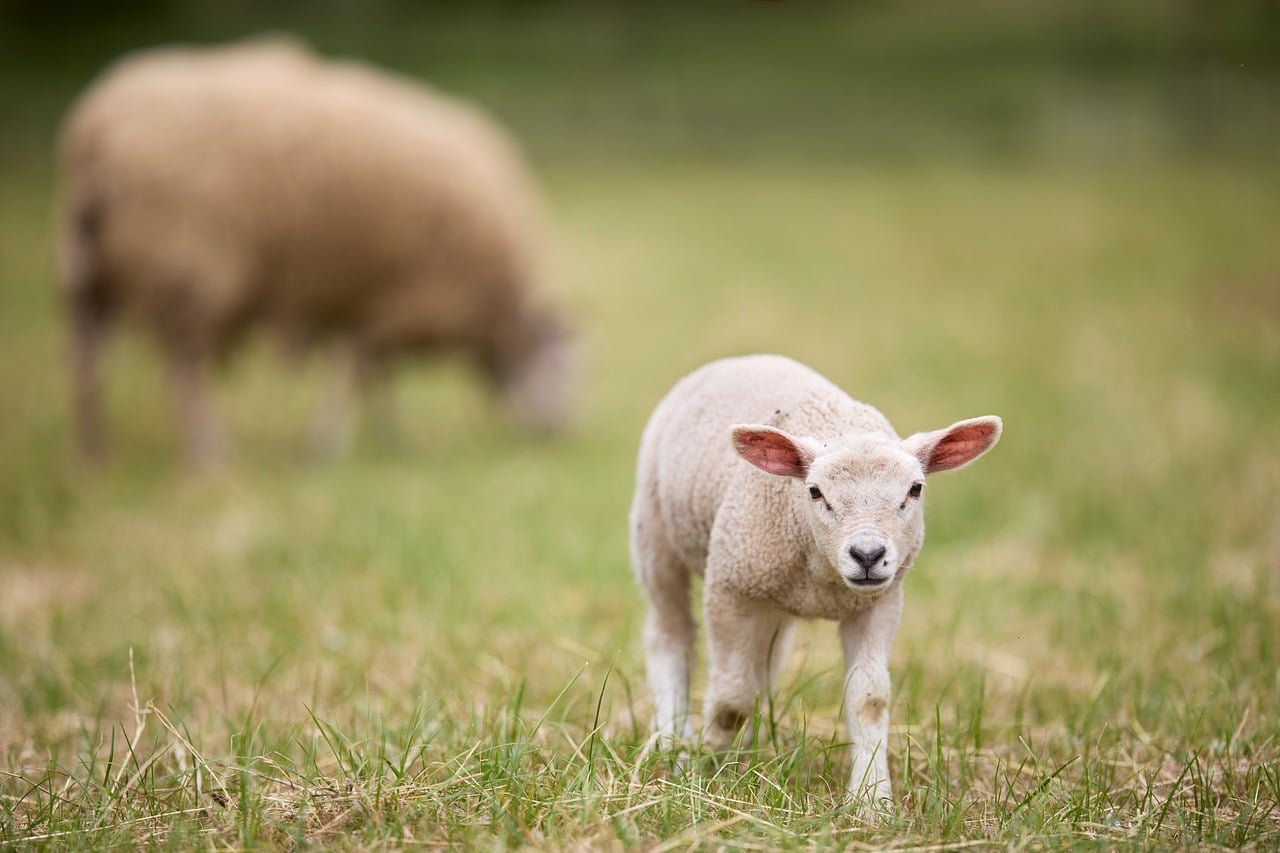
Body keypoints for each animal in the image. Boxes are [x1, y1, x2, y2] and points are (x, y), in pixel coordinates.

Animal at [56, 37, 572, 466]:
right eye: (562, 365)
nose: (560, 431)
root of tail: (97, 131)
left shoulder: (364, 301)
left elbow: (372, 376)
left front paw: (387, 436)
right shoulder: (394, 299)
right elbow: (357, 372)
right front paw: (331, 443)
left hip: (92, 275)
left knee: (86, 362)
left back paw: (94, 454)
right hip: (185, 273)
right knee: (183, 373)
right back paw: (210, 451)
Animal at [629, 353, 1002, 807]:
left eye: (915, 489)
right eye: (814, 491)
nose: (867, 555)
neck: (823, 579)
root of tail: (744, 358)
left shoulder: (879, 602)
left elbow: (869, 699)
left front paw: (871, 800)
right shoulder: (729, 586)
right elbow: (731, 697)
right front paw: (704, 766)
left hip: (770, 597)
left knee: (763, 663)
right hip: (655, 533)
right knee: (671, 635)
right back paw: (671, 739)